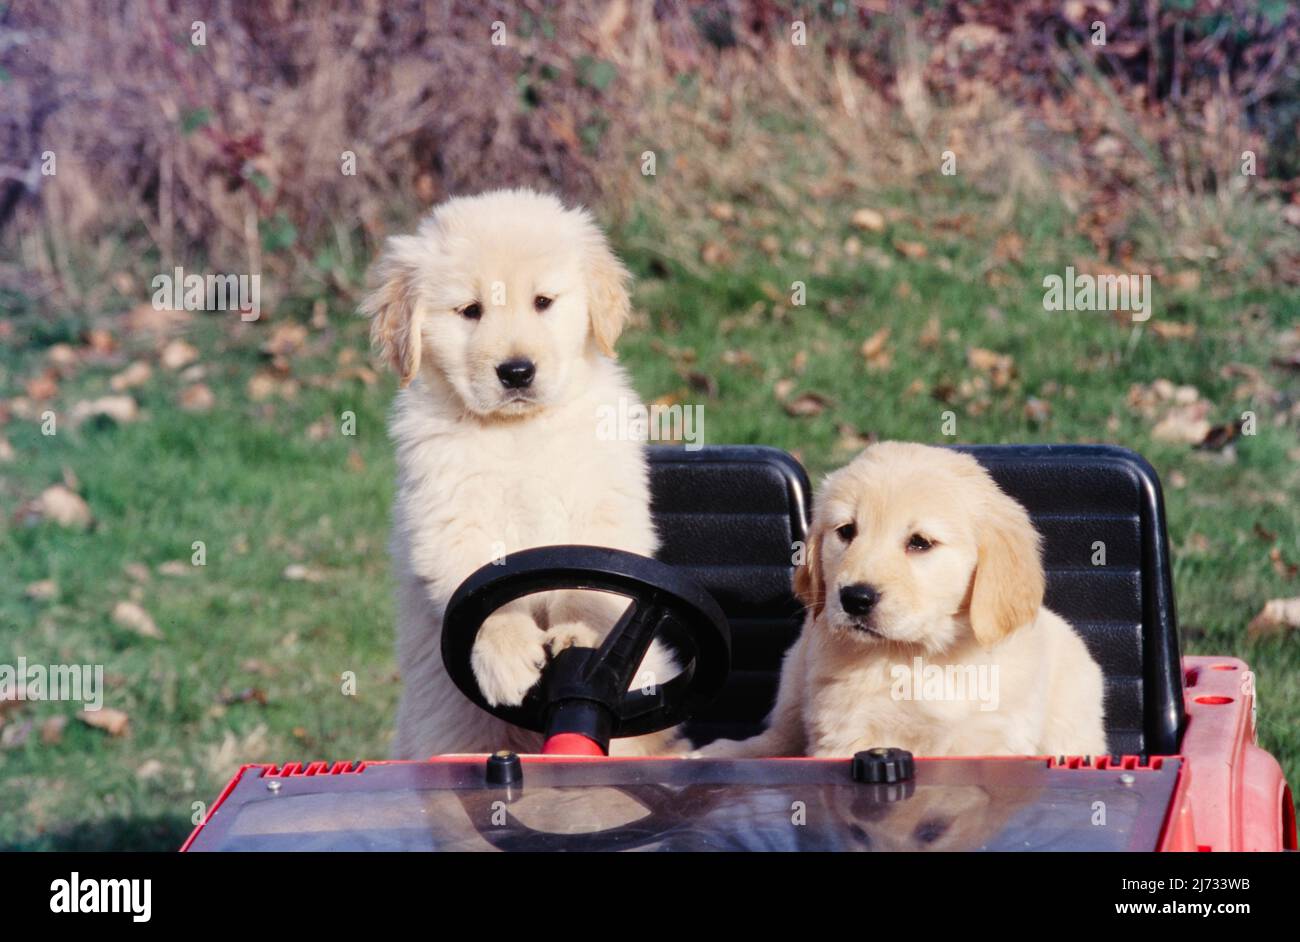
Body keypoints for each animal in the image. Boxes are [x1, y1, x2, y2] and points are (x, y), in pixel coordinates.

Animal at [361, 189, 676, 758]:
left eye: (543, 302)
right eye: (470, 311)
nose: (516, 372)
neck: (518, 432)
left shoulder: (604, 504)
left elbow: (591, 579)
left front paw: (585, 643)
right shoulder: (448, 517)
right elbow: (481, 588)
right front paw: (507, 655)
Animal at [702, 441, 1107, 758]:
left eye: (920, 543)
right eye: (846, 531)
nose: (855, 598)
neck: (919, 658)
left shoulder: (993, 738)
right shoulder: (844, 732)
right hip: (794, 672)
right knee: (779, 736)